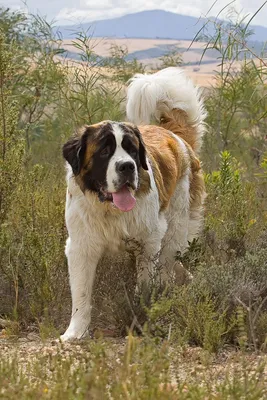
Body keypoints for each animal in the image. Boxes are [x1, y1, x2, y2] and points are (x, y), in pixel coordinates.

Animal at [60, 66, 207, 340]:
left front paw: (143, 315)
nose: (127, 166)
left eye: (131, 149)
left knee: (168, 263)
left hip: (174, 228)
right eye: (104, 151)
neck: (110, 210)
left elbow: (146, 285)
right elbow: (81, 295)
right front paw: (75, 333)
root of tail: (174, 135)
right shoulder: (81, 247)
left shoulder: (149, 243)